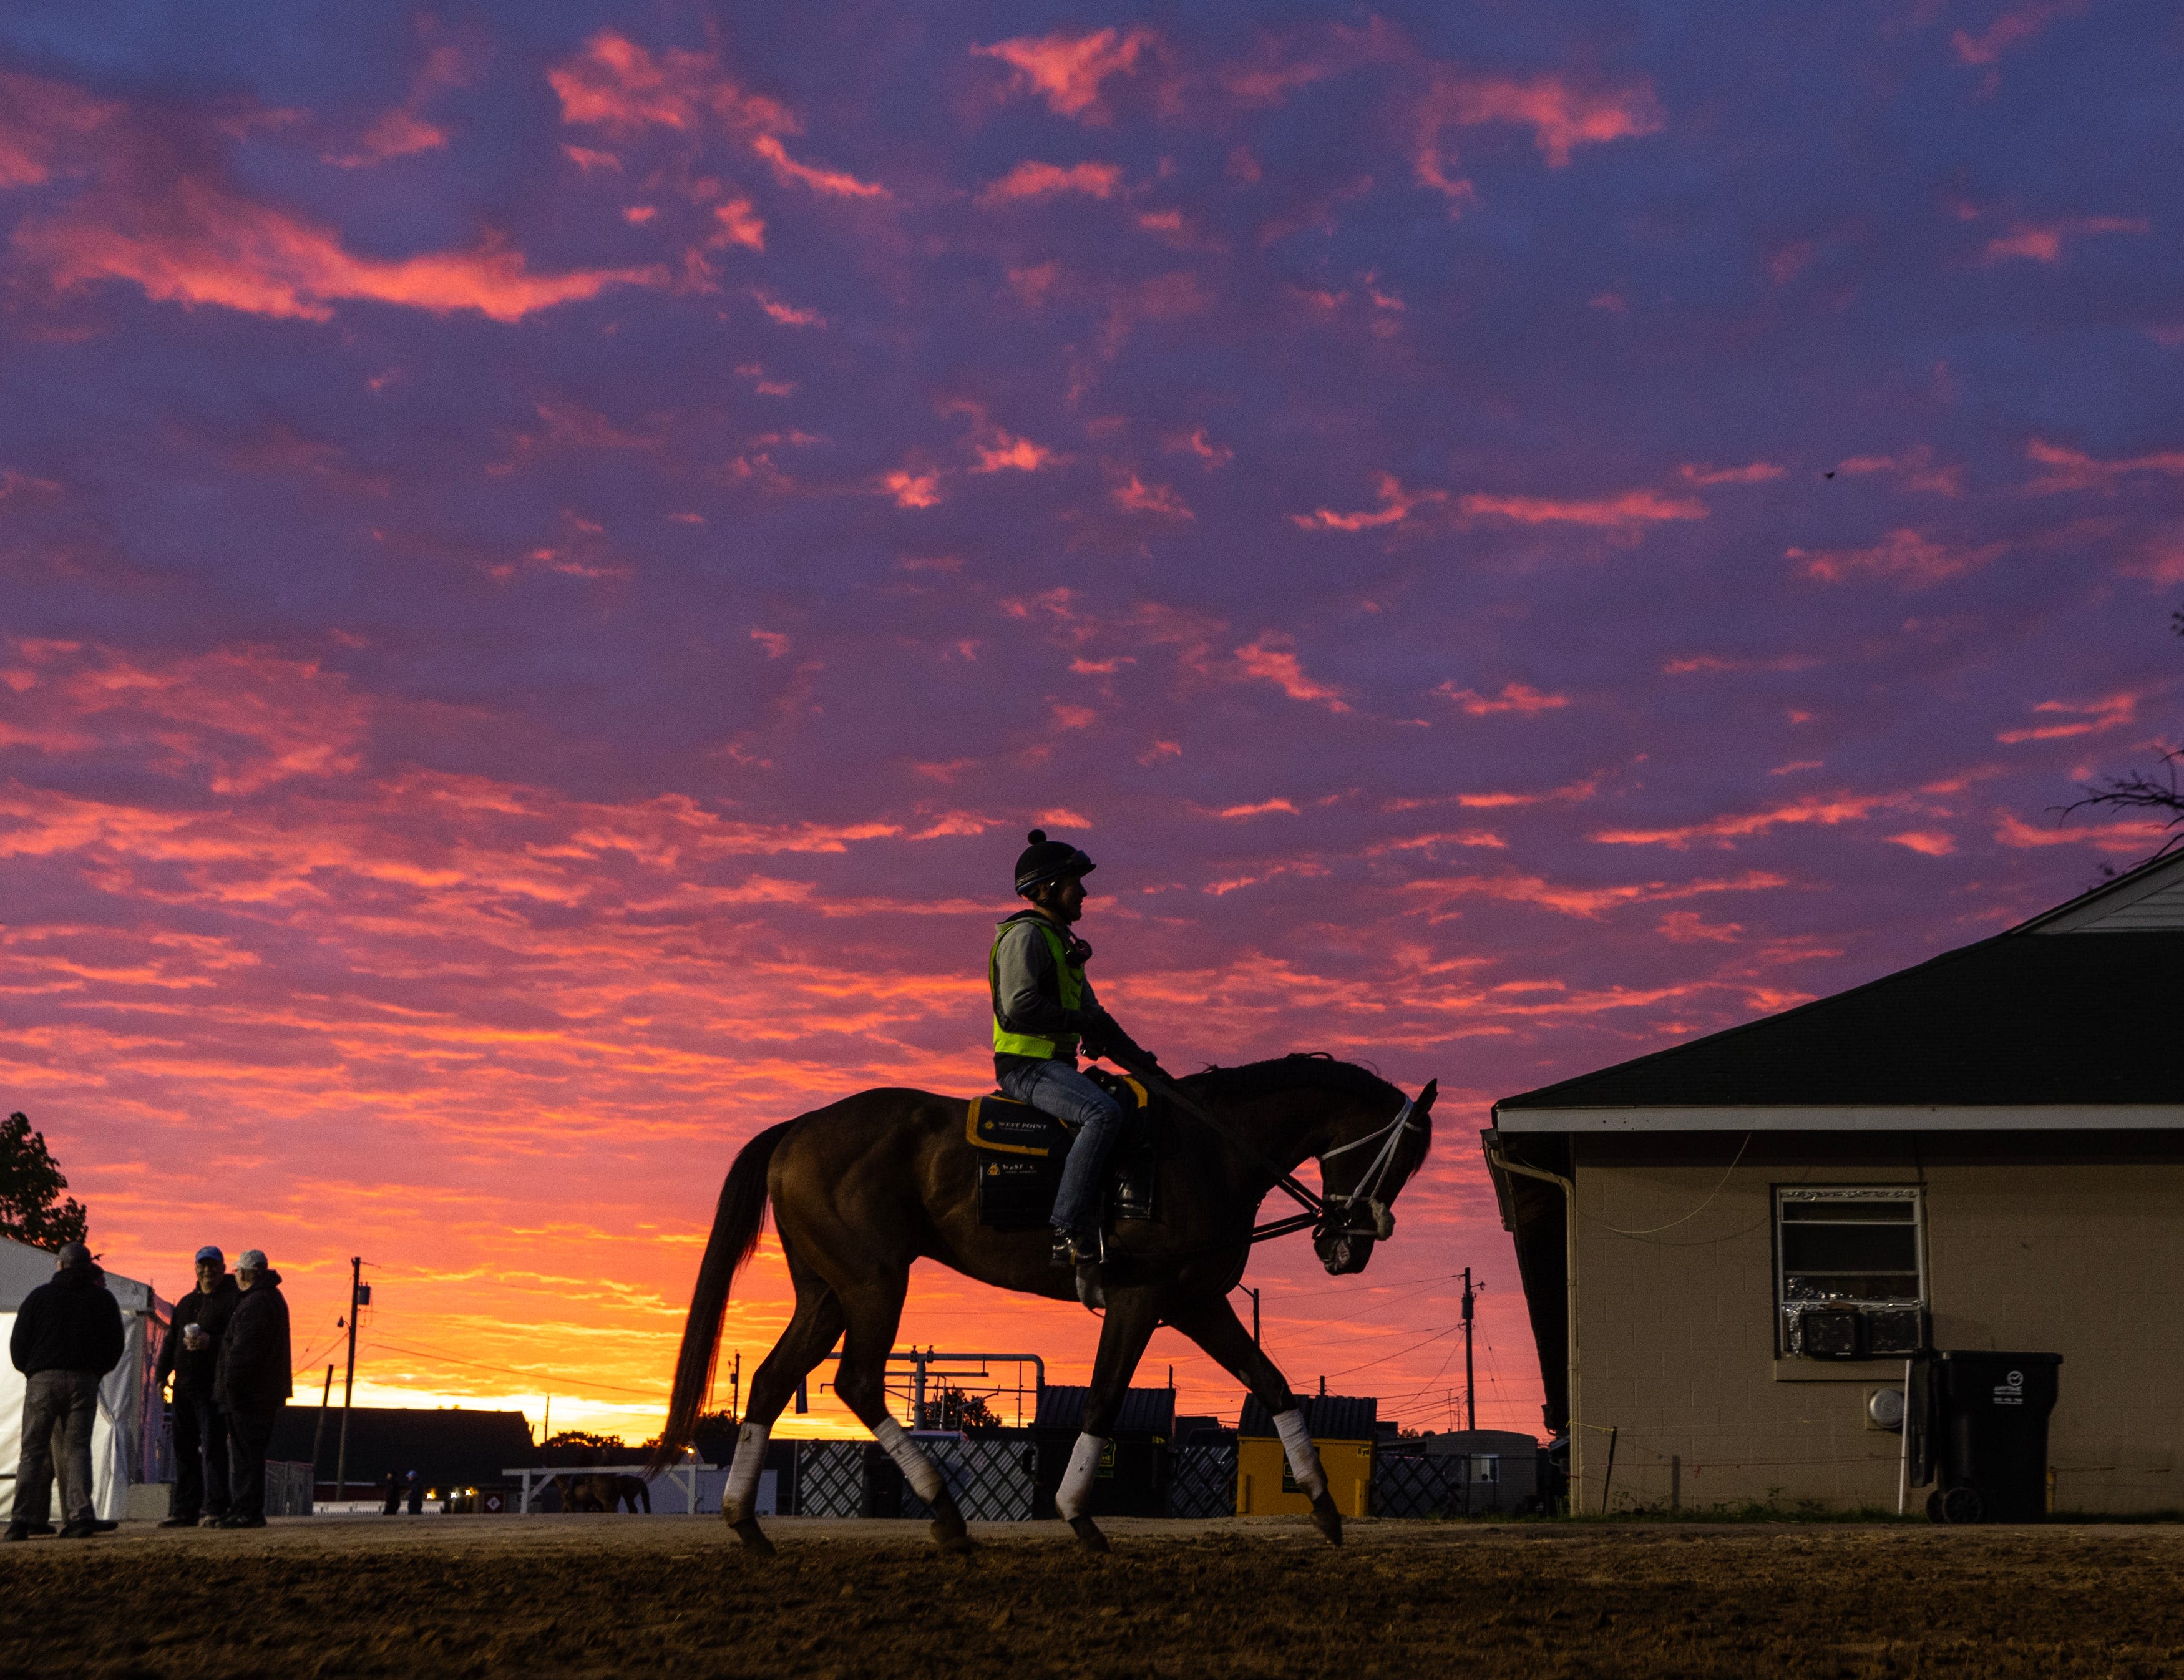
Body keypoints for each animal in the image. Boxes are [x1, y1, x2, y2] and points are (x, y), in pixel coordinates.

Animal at [646, 1057, 1433, 1555]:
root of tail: (799, 1126)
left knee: (772, 1381)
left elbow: (1271, 1383)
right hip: (873, 1283)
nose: (1349, 1246)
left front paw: (1324, 1505)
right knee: (858, 1381)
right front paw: (1077, 1514)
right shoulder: (1139, 1298)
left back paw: (746, 1523)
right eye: (1397, 1158)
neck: (1207, 1151)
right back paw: (943, 1510)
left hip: (828, 1294)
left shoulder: (1198, 1302)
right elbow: (1103, 1399)